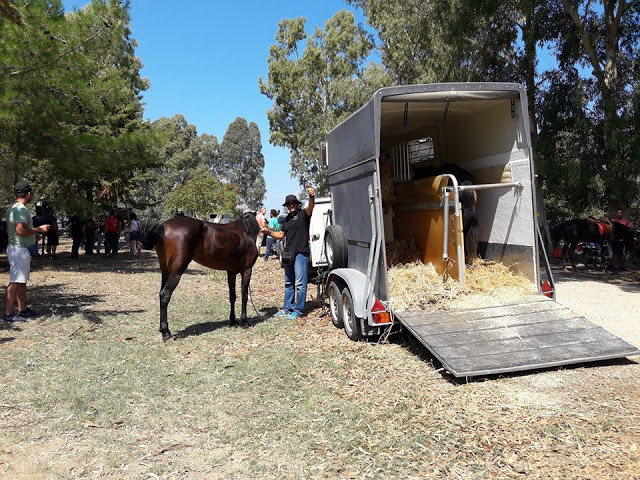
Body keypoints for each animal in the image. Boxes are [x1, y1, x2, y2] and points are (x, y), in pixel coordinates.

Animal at [141, 214, 260, 342]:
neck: (246, 231)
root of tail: (163, 226)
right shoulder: (247, 270)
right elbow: (244, 296)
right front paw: (244, 321)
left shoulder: (231, 272)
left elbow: (232, 297)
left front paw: (233, 321)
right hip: (175, 272)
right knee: (165, 295)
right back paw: (166, 332)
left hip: (165, 271)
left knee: (161, 293)